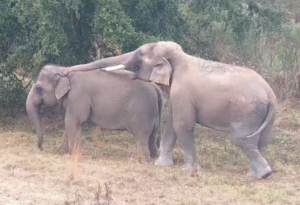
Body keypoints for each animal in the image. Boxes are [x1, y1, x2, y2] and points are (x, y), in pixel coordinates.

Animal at [26, 63, 163, 160]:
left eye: (38, 88)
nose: (42, 148)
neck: (65, 70)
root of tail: (155, 87)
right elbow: (70, 124)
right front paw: (60, 152)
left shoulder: (77, 96)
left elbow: (71, 121)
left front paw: (72, 154)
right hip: (154, 115)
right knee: (152, 135)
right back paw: (154, 157)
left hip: (142, 112)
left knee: (142, 136)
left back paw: (142, 160)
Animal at [63, 41, 278, 178]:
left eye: (140, 53)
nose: (65, 71)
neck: (180, 57)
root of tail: (270, 93)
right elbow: (172, 125)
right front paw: (162, 164)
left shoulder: (182, 92)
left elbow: (183, 125)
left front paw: (189, 171)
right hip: (266, 115)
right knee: (263, 140)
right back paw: (254, 173)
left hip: (247, 112)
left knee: (241, 139)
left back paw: (262, 175)